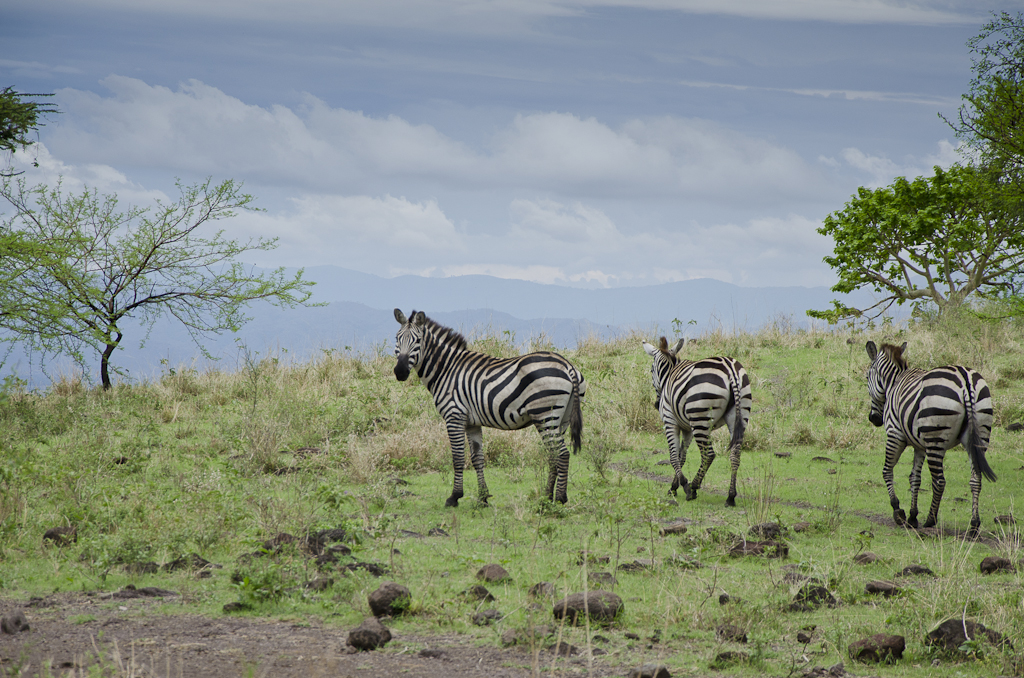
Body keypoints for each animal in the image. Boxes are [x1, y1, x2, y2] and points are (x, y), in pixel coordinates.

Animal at [391, 311, 585, 507]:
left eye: (417, 340)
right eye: (397, 339)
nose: (400, 371)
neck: (446, 369)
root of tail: (568, 365)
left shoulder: (454, 416)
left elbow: (458, 458)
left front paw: (454, 497)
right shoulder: (472, 423)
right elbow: (477, 458)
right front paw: (483, 497)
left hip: (545, 414)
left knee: (562, 454)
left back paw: (560, 498)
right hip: (561, 419)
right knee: (553, 455)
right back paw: (546, 497)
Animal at [638, 337, 753, 507]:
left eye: (652, 370)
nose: (656, 404)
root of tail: (730, 369)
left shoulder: (670, 422)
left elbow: (673, 456)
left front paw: (683, 485)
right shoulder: (687, 428)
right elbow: (682, 456)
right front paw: (674, 486)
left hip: (700, 417)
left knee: (709, 454)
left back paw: (693, 487)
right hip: (740, 413)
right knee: (735, 454)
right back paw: (730, 497)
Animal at [864, 342, 991, 540]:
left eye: (867, 377)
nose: (874, 419)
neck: (893, 382)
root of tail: (965, 380)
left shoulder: (894, 434)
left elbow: (887, 471)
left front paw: (898, 511)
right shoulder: (919, 446)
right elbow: (915, 478)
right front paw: (912, 516)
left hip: (935, 437)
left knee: (939, 481)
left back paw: (930, 520)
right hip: (980, 434)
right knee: (976, 479)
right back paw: (973, 526)